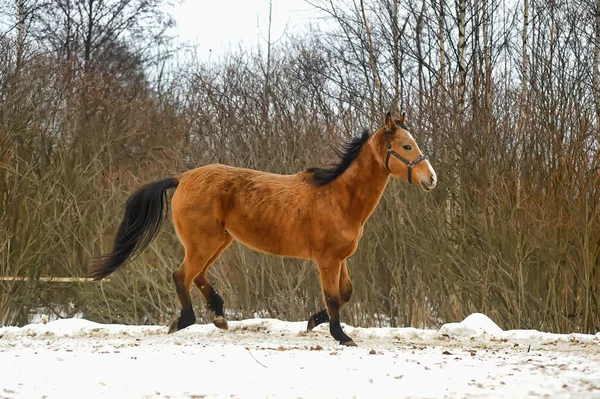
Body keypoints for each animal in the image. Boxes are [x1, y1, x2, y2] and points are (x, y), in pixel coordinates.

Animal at [89, 111, 436, 346]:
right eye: (406, 146)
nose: (431, 178)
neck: (338, 198)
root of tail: (183, 177)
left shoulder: (341, 259)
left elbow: (345, 293)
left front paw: (313, 321)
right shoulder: (327, 261)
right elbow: (334, 297)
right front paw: (340, 335)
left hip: (219, 242)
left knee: (197, 276)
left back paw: (218, 315)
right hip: (204, 243)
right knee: (181, 276)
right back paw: (185, 321)